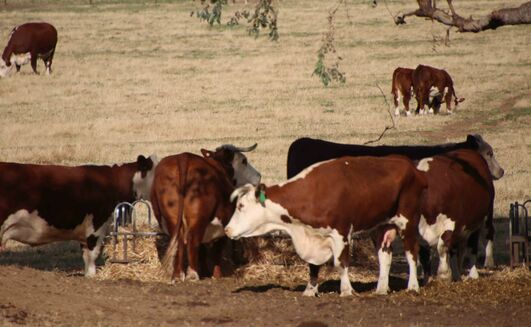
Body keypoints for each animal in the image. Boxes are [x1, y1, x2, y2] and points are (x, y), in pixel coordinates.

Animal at [152, 145, 262, 284]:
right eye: (244, 161)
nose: (259, 176)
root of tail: (184, 157)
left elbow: (203, 251)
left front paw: (205, 271)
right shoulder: (223, 226)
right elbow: (217, 251)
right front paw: (217, 274)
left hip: (173, 219)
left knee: (180, 242)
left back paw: (178, 274)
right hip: (198, 220)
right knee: (193, 241)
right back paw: (192, 274)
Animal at [225, 156, 428, 298]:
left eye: (241, 206)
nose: (227, 230)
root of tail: (411, 167)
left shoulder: (342, 233)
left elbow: (341, 263)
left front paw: (346, 290)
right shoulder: (313, 235)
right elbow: (312, 266)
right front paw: (310, 290)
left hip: (408, 222)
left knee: (412, 252)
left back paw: (413, 287)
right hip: (380, 226)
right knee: (384, 256)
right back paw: (381, 289)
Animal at [418, 150, 500, 284]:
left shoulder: (451, 225)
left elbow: (442, 246)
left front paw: (444, 274)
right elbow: (424, 256)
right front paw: (427, 279)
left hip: (483, 217)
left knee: (481, 240)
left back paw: (482, 267)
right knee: (459, 249)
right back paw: (458, 273)